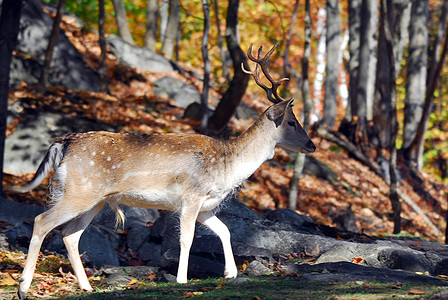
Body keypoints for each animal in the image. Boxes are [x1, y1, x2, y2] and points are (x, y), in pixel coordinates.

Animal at [13, 43, 316, 298]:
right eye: (291, 121)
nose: (311, 145)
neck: (228, 167)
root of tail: (63, 143)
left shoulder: (206, 206)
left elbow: (225, 231)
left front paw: (230, 273)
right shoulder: (192, 196)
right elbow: (187, 238)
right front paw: (182, 279)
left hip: (94, 199)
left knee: (70, 235)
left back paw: (87, 287)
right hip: (81, 190)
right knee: (41, 221)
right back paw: (23, 288)